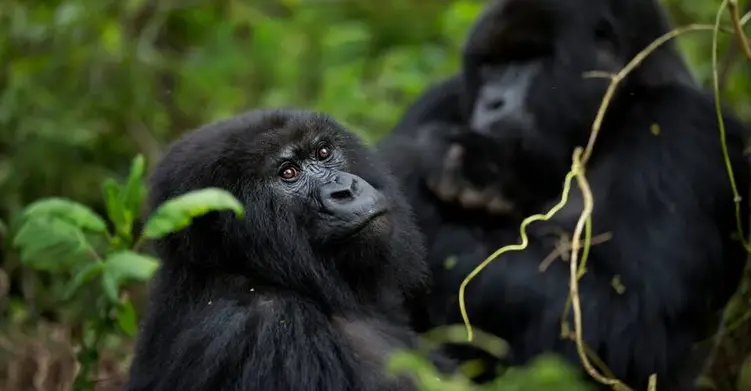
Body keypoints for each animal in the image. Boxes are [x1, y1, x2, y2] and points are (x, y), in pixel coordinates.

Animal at [378, 0, 751, 388]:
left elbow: (630, 328)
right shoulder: (440, 97)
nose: (492, 102)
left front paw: (412, 164)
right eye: (492, 67)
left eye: (530, 59)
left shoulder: (687, 128)